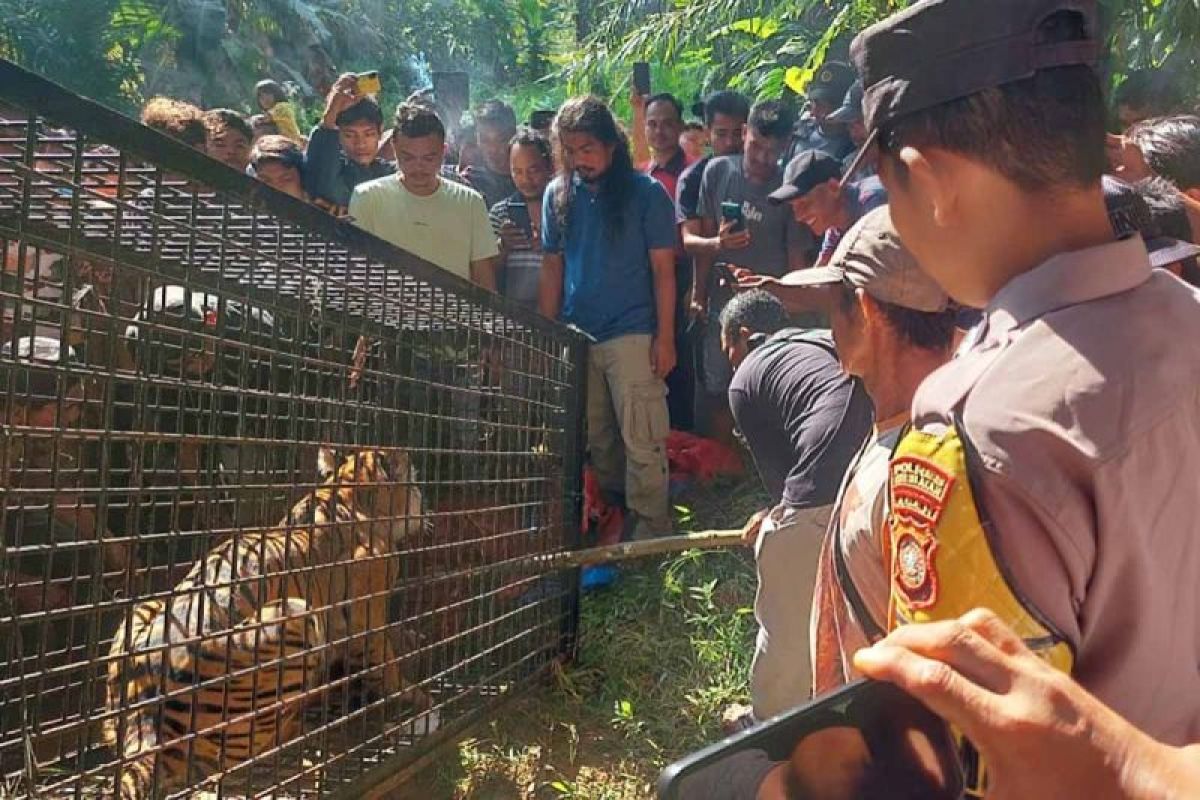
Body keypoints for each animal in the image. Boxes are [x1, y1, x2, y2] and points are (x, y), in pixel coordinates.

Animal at [102, 448, 432, 796]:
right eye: (414, 482)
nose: (425, 504)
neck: (346, 493)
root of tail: (145, 730)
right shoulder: (367, 616)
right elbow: (387, 664)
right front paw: (418, 700)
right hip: (295, 614)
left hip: (142, 610)